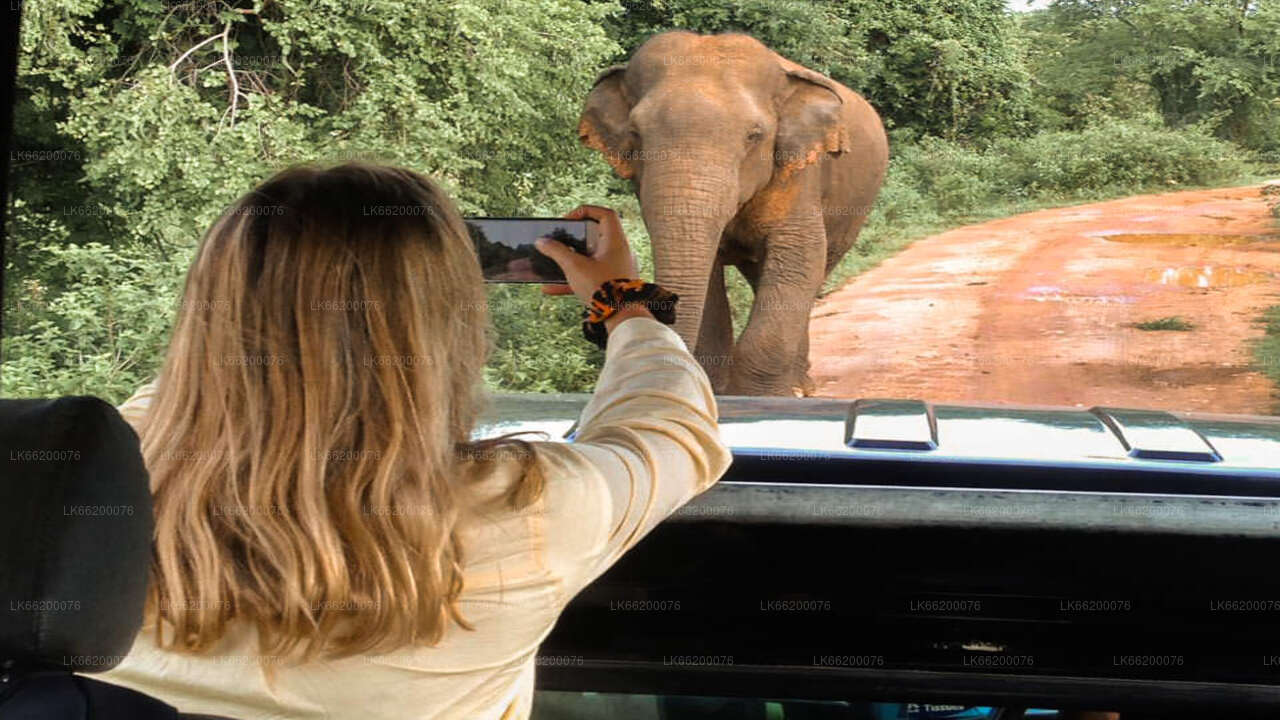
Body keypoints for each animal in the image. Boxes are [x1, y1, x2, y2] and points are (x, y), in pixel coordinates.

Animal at [578, 31, 889, 396]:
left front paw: (757, 397)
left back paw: (800, 387)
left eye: (754, 136)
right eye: (635, 134)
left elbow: (799, 257)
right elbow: (710, 279)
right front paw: (717, 391)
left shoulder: (799, 174)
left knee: (812, 276)